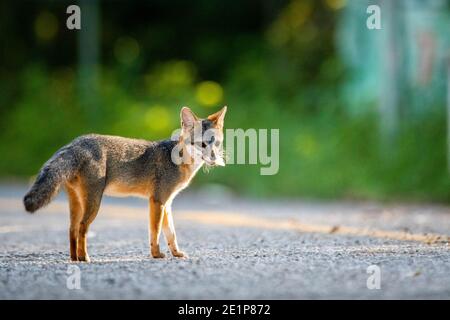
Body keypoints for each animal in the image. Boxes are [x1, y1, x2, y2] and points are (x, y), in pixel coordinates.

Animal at [22, 106, 227, 262]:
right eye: (202, 144)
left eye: (216, 143)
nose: (214, 158)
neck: (178, 159)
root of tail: (76, 143)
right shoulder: (157, 201)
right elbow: (155, 232)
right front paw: (156, 254)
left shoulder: (167, 203)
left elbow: (171, 234)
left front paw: (176, 254)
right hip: (94, 203)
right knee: (81, 228)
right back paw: (85, 258)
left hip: (78, 203)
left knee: (72, 229)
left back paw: (74, 259)